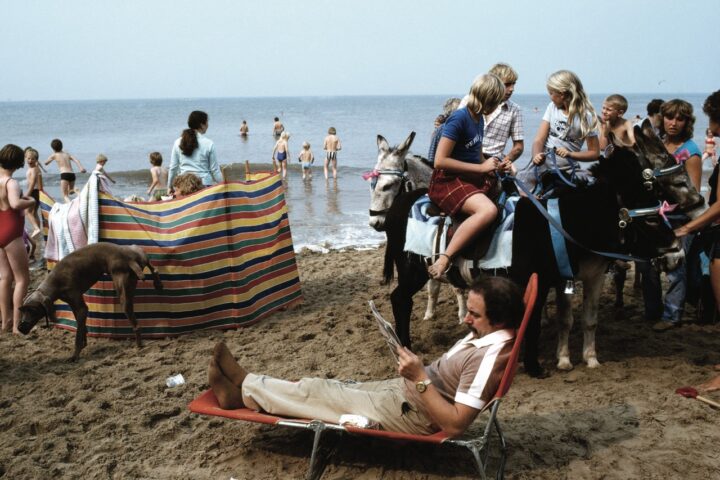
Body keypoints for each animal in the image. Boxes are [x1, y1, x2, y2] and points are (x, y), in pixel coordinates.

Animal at [18, 244, 163, 360]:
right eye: (22, 310)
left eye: (33, 310)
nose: (20, 327)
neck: (54, 281)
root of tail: (129, 259)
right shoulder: (75, 307)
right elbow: (81, 328)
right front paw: (84, 343)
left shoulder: (81, 307)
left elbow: (78, 335)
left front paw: (75, 355)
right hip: (135, 256)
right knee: (152, 266)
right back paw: (158, 284)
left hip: (123, 295)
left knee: (136, 325)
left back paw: (139, 345)